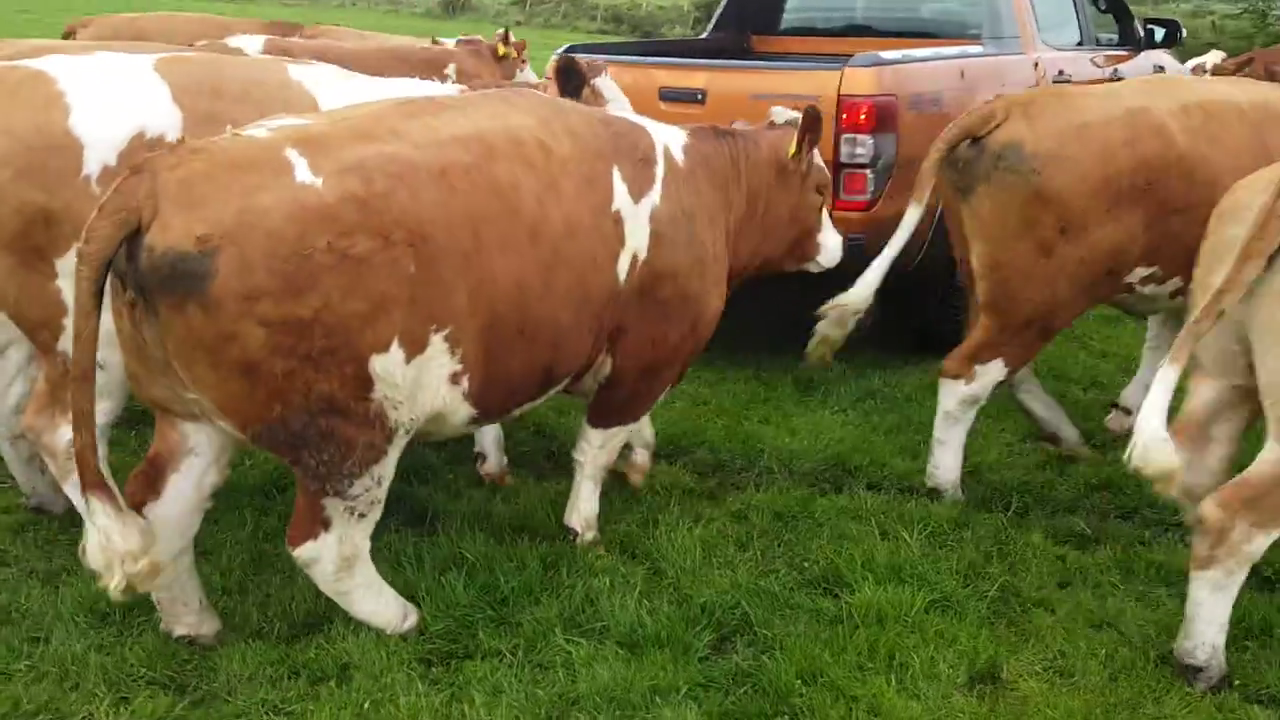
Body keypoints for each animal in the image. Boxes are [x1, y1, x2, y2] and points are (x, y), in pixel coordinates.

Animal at [67, 90, 849, 638]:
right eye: (820, 189)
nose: (840, 248)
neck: (707, 187)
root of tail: (161, 177)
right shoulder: (651, 349)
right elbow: (597, 445)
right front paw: (584, 524)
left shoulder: (622, 356)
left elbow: (631, 427)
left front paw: (636, 461)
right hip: (356, 431)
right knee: (325, 546)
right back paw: (398, 617)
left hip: (193, 415)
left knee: (164, 510)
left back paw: (194, 622)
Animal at [803, 73, 1280, 499]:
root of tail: (1008, 106)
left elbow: (1161, 338)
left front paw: (1128, 410)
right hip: (1037, 296)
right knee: (967, 376)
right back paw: (946, 486)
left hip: (993, 286)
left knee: (1006, 369)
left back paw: (1062, 433)